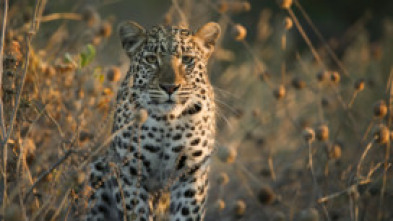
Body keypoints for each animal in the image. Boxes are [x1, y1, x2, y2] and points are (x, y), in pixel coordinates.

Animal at [86, 19, 220, 221]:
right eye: (151, 59)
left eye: (187, 59)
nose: (170, 87)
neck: (167, 122)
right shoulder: (130, 172)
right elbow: (136, 212)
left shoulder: (191, 174)